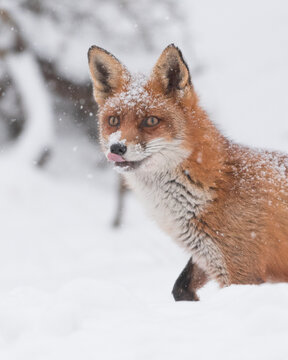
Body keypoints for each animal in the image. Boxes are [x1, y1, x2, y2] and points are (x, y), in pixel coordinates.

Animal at [87, 43, 288, 300]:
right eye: (113, 120)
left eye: (151, 121)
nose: (117, 148)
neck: (216, 183)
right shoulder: (208, 256)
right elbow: (180, 285)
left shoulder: (243, 271)